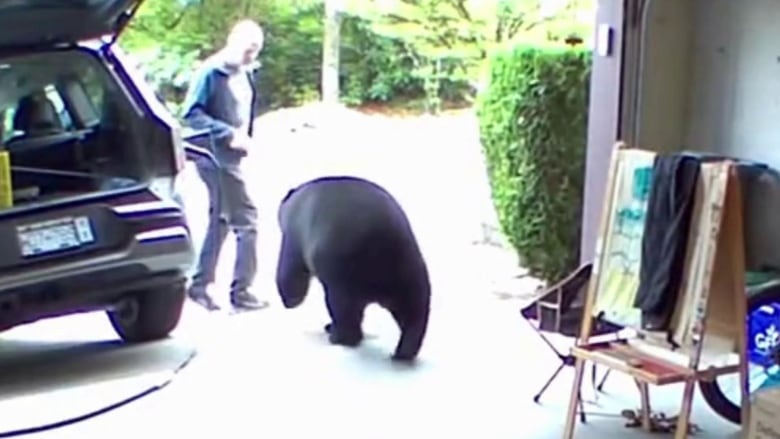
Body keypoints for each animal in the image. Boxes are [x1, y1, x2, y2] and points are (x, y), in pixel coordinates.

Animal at [274, 177, 432, 362]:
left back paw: (337, 335)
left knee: (343, 307)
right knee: (414, 310)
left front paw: (289, 300)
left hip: (343, 269)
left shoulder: (295, 234)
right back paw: (403, 352)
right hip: (409, 266)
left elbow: (289, 269)